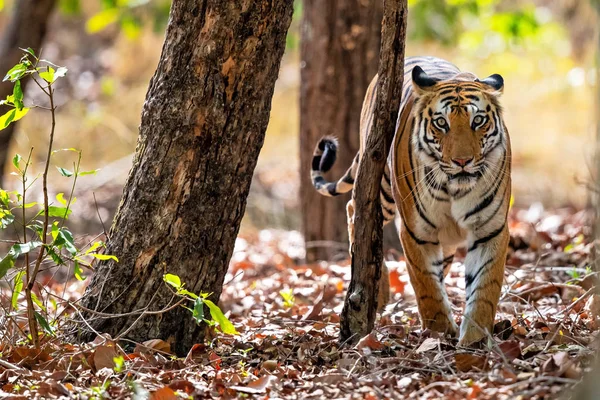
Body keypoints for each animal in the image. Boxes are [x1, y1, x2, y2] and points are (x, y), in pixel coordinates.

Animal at [310, 56, 510, 346]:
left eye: (478, 120)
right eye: (441, 123)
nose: (462, 161)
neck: (455, 190)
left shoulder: (490, 230)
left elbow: (485, 288)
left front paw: (475, 340)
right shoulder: (417, 232)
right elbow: (426, 286)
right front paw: (439, 332)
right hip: (381, 187)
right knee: (354, 211)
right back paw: (378, 293)